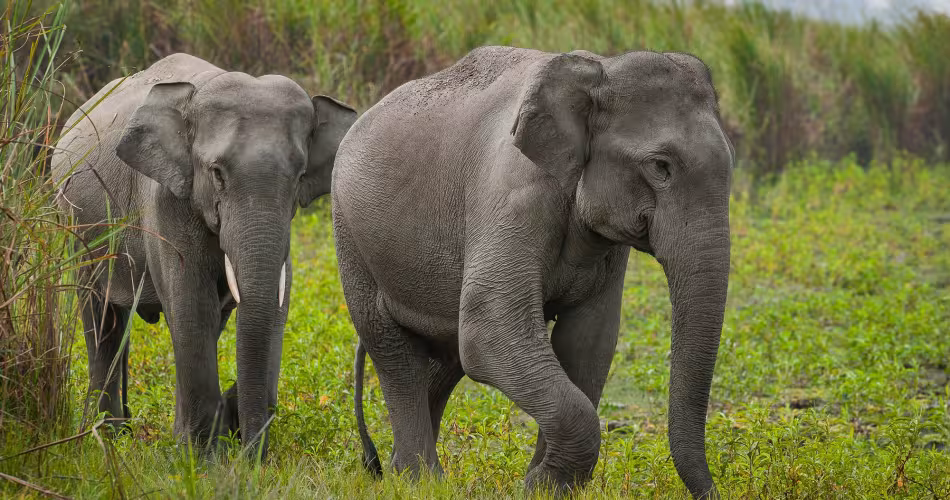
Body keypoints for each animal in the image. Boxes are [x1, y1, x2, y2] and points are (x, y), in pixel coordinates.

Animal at [51, 53, 357, 455]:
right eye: (216, 173)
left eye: (300, 175)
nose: (250, 456)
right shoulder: (165, 200)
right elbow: (192, 305)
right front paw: (202, 457)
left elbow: (260, 304)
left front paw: (199, 444)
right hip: (75, 224)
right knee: (102, 319)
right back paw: (109, 436)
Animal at [336, 46, 733, 498]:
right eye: (660, 166)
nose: (715, 492)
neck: (599, 70)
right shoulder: (513, 194)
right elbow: (490, 330)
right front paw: (540, 484)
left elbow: (588, 342)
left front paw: (542, 483)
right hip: (351, 238)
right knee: (393, 350)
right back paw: (419, 480)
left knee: (445, 357)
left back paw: (405, 473)